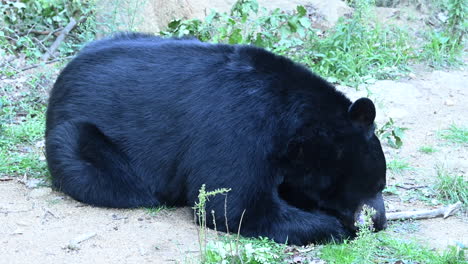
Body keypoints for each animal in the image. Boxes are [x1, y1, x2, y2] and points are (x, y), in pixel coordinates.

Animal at [44, 33, 388, 245]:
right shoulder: (238, 128)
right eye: (376, 185)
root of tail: (61, 79)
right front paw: (335, 226)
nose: (379, 221)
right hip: (78, 138)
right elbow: (235, 204)